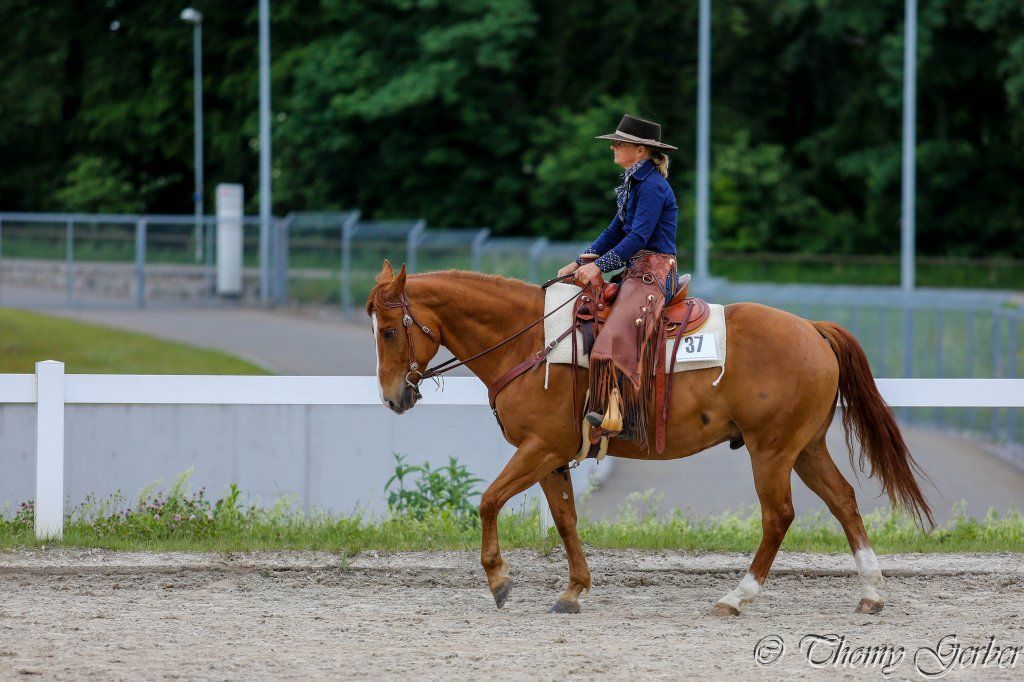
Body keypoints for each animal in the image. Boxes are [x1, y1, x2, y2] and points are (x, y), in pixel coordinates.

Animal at [365, 260, 933, 616]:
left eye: (390, 331)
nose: (394, 397)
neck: (530, 340)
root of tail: (812, 330)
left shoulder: (538, 448)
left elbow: (487, 501)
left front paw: (500, 581)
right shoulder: (552, 457)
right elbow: (566, 520)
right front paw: (574, 592)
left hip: (771, 451)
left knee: (779, 518)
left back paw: (735, 598)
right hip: (806, 448)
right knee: (844, 502)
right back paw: (872, 594)